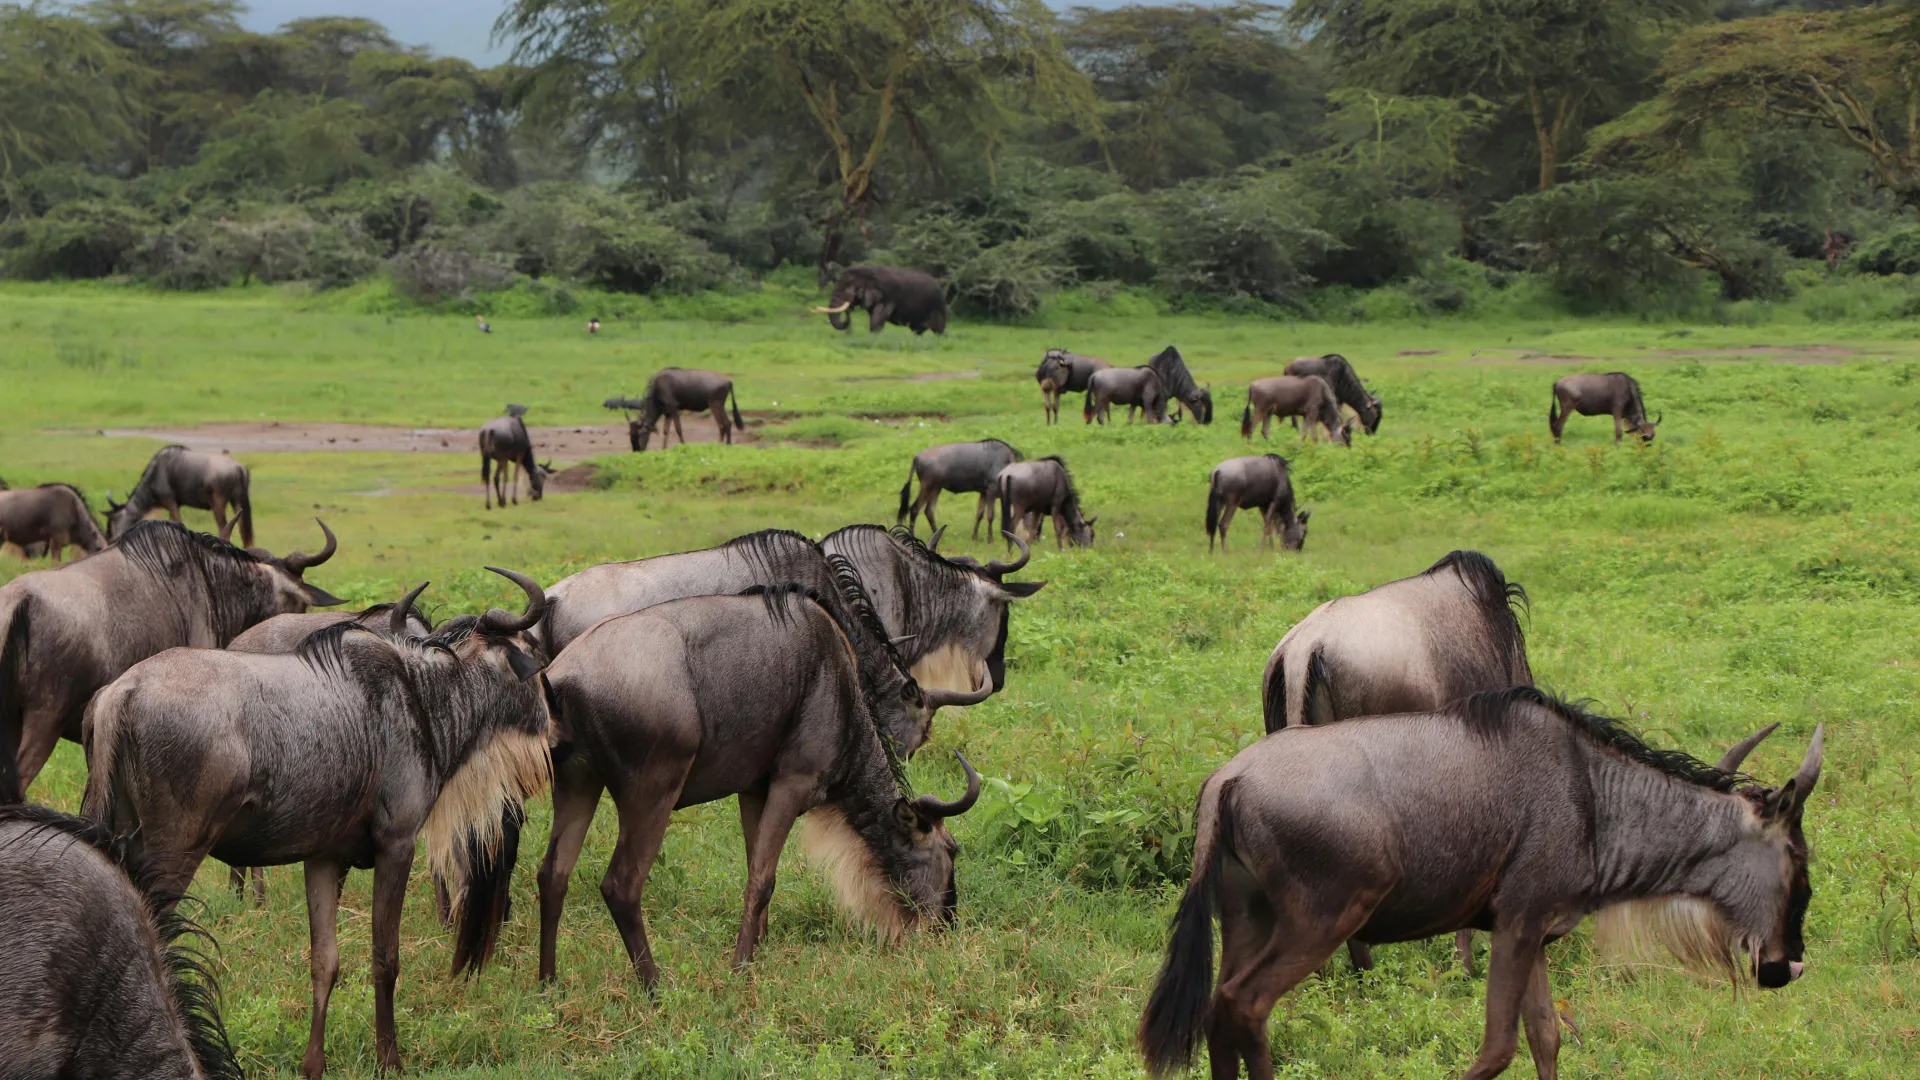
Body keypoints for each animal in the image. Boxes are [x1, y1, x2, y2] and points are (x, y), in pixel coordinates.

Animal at [812, 265, 948, 335]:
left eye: (848, 289)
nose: (849, 309)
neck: (866, 271)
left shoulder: (888, 296)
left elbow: (878, 317)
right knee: (917, 330)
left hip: (937, 307)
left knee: (938, 330)